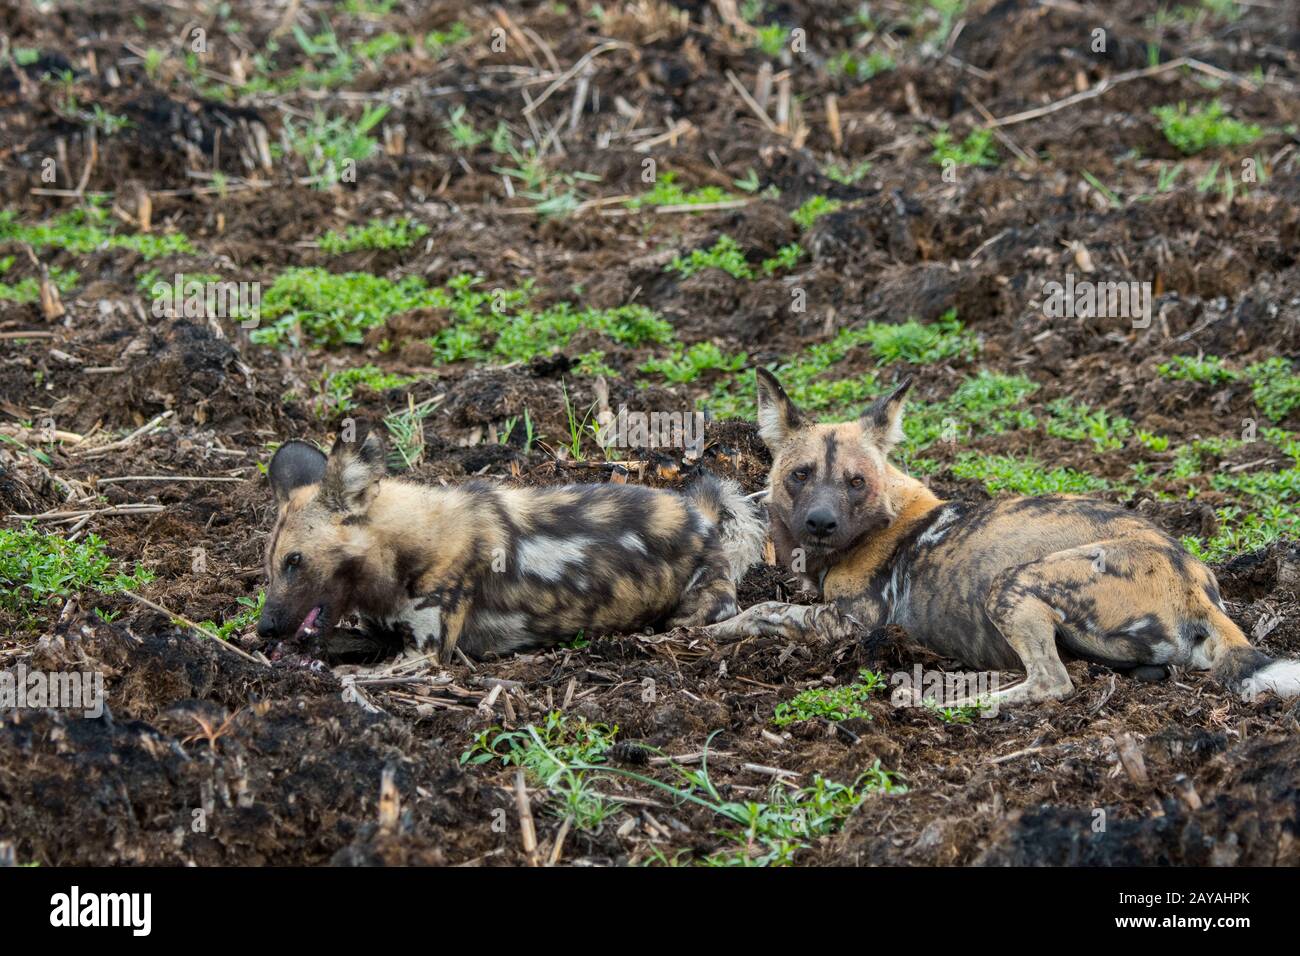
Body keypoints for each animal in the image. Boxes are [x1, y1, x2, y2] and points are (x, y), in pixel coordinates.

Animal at [257, 429, 764, 665]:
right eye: (271, 566)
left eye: (295, 561)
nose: (264, 628)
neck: (403, 546)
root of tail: (700, 517)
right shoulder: (379, 635)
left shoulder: (422, 654)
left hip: (693, 612)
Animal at [707, 369, 1300, 707]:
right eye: (801, 474)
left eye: (856, 481)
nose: (821, 523)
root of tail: (1188, 581)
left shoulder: (850, 623)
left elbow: (765, 611)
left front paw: (711, 629)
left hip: (1013, 586)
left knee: (1051, 684)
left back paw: (944, 702)